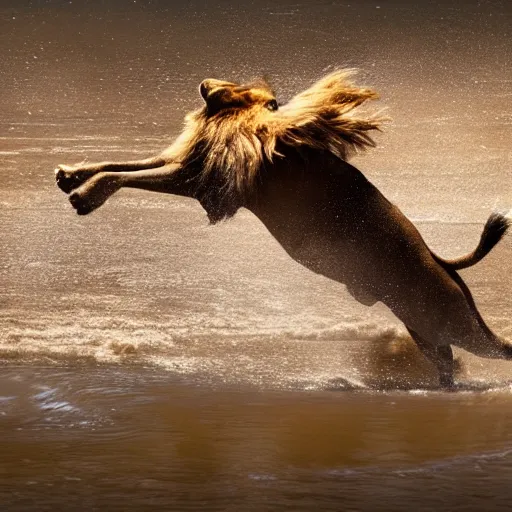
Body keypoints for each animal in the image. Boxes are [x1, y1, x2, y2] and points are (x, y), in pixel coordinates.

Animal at [54, 69, 510, 388]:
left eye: (235, 85)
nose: (206, 81)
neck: (235, 120)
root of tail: (441, 262)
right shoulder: (190, 164)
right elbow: (124, 162)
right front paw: (70, 175)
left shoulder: (203, 181)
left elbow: (126, 173)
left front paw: (85, 197)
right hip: (426, 330)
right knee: (448, 364)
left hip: (452, 323)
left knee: (497, 348)